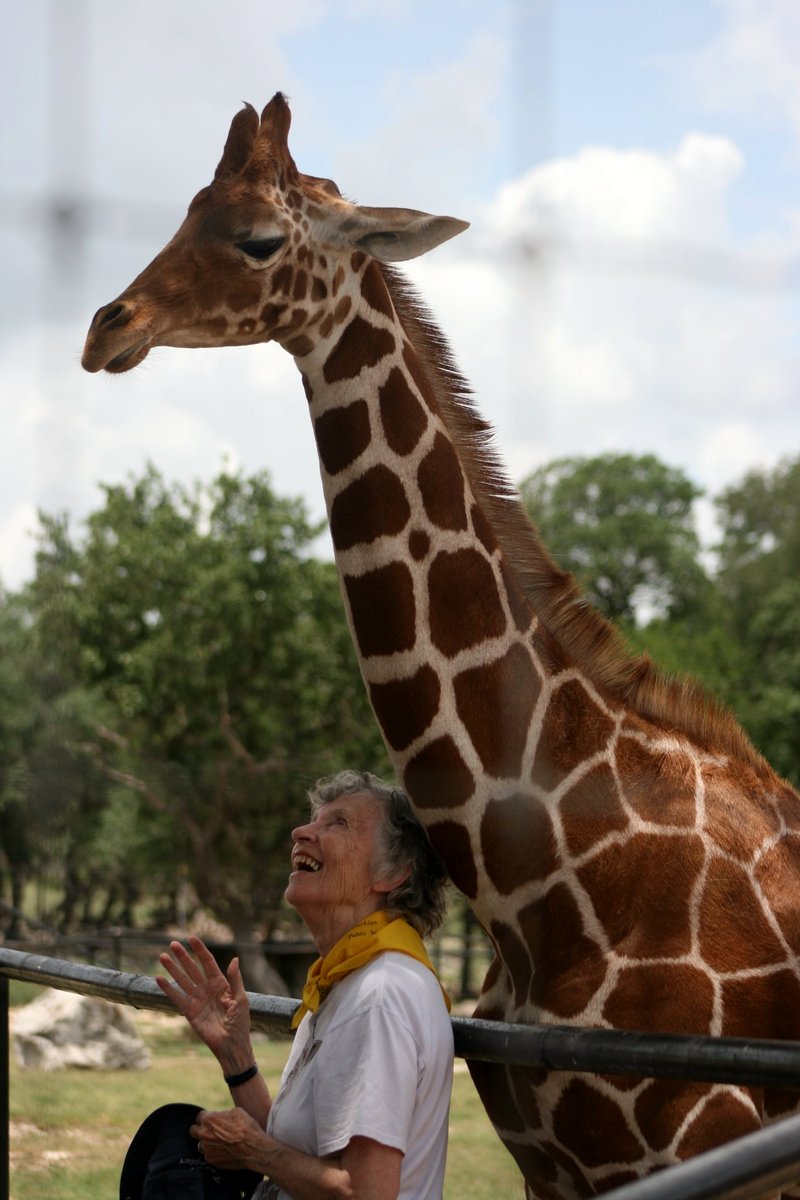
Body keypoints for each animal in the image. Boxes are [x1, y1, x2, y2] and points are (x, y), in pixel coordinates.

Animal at [79, 96, 800, 1200]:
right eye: (185, 210)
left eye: (256, 238)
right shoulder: (552, 1162)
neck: (551, 887)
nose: (107, 328)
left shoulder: (711, 1150)